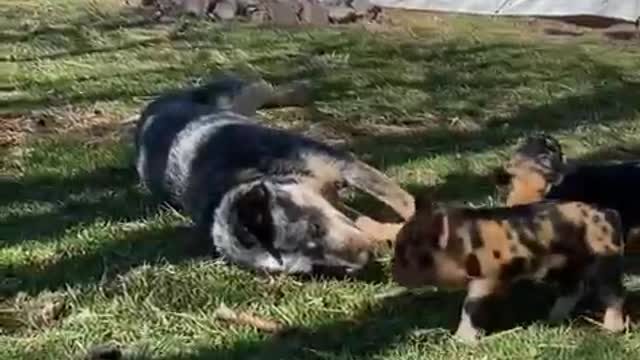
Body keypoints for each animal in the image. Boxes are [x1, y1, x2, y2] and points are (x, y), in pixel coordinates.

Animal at [135, 73, 416, 276]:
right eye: (315, 267)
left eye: (315, 228)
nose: (365, 260)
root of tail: (152, 107)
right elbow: (364, 221)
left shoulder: (338, 162)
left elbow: (402, 200)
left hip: (240, 92)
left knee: (265, 87)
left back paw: (301, 90)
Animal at [390, 194, 624, 344]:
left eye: (406, 254)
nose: (394, 274)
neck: (460, 245)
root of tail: (610, 213)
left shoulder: (487, 278)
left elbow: (470, 306)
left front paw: (460, 341)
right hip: (565, 264)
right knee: (573, 288)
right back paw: (549, 320)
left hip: (604, 258)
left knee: (613, 294)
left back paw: (611, 331)